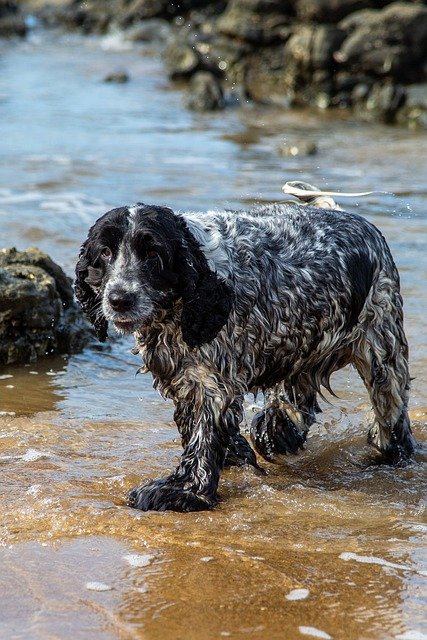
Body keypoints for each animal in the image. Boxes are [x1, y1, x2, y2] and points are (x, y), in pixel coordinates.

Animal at [74, 194, 418, 510]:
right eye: (105, 252)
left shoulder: (214, 383)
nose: (120, 299)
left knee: (392, 419)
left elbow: (203, 437)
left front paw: (184, 491)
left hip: (382, 351)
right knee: (297, 400)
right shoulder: (183, 374)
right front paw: (233, 455)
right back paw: (278, 431)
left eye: (152, 254)